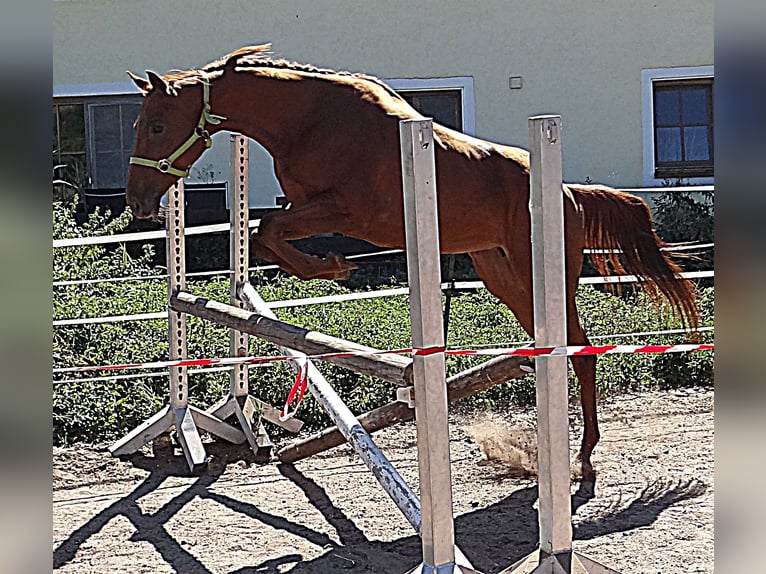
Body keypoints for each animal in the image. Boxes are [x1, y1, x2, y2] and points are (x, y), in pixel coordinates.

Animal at [126, 45, 704, 496]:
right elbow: (266, 232)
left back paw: (583, 457)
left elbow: (268, 228)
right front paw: (328, 267)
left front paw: (332, 268)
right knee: (555, 346)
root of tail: (568, 192)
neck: (310, 121)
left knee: (580, 350)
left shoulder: (346, 212)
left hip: (543, 273)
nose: (138, 202)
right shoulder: (310, 207)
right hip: (501, 274)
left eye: (157, 125)